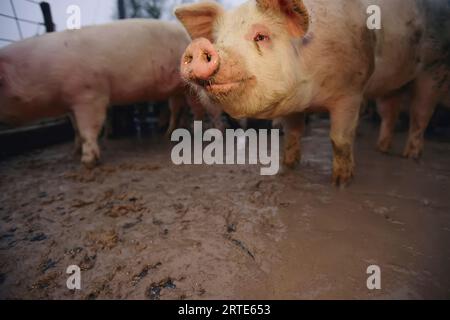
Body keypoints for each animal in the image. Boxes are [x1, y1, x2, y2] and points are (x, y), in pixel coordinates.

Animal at [176, 0, 450, 185]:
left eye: (261, 36)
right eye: (219, 39)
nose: (200, 46)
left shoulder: (352, 90)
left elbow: (340, 139)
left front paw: (341, 182)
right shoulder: (292, 104)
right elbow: (293, 134)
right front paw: (287, 167)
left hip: (434, 67)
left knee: (420, 115)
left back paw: (410, 156)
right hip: (394, 84)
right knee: (390, 113)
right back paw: (382, 149)